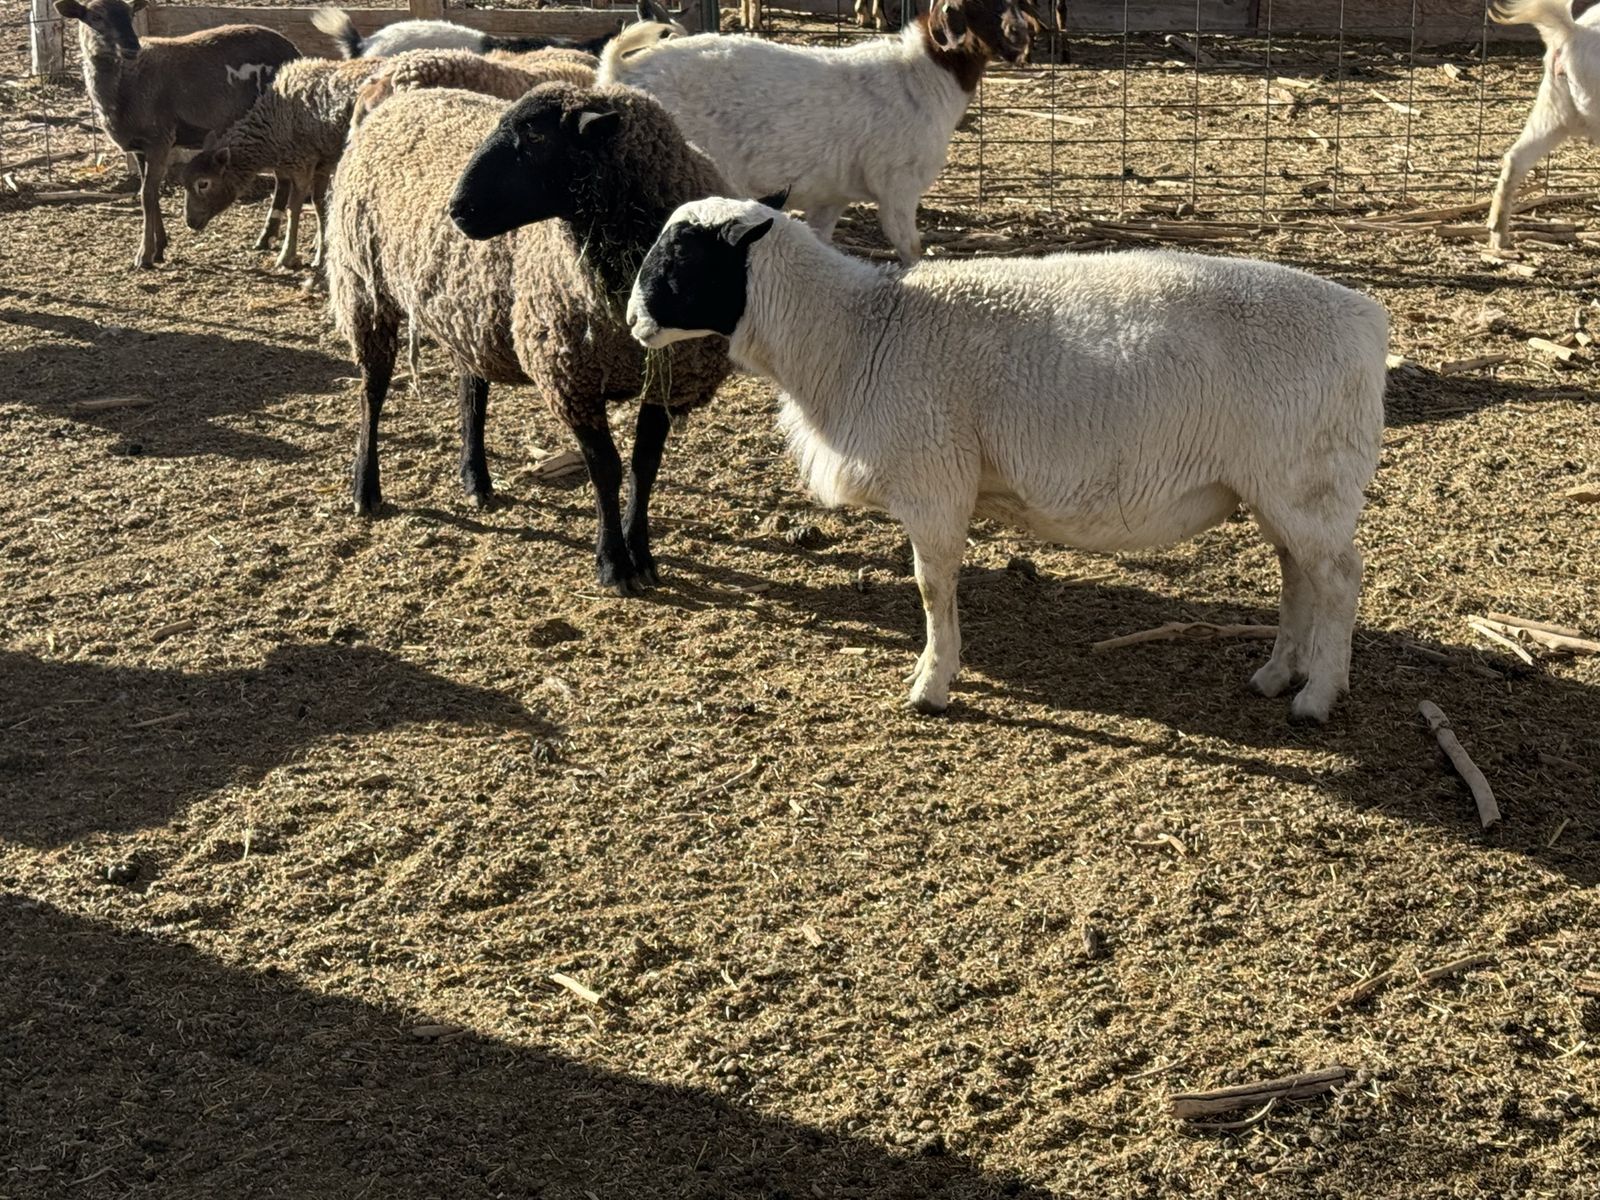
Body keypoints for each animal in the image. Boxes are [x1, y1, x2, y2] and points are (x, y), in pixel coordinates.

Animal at [53, 0, 300, 268]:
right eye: (96, 17)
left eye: (130, 14)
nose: (132, 46)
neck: (123, 87)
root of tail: (294, 51)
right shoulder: (140, 147)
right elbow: (150, 194)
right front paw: (159, 248)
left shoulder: (159, 139)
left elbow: (146, 195)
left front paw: (144, 255)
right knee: (282, 179)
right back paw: (266, 238)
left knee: (283, 179)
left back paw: (268, 237)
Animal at [179, 57, 380, 271]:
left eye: (203, 183)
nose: (190, 222)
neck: (271, 125)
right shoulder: (321, 164)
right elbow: (320, 206)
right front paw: (321, 254)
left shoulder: (303, 164)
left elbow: (293, 209)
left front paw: (287, 257)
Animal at [324, 83, 736, 595]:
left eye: (537, 138)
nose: (457, 211)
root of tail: (400, 99)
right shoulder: (570, 379)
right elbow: (606, 469)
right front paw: (613, 564)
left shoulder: (667, 376)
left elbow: (645, 467)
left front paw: (640, 554)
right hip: (364, 286)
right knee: (372, 393)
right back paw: (366, 489)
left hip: (467, 310)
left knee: (471, 392)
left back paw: (476, 479)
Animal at [599, 0, 1034, 266]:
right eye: (980, 4)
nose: (1022, 37)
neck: (923, 75)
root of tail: (620, 71)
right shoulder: (897, 184)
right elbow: (908, 246)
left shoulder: (832, 195)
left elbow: (821, 240)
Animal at [626, 200, 1389, 721]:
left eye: (681, 259)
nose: (632, 323)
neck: (856, 334)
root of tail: (1368, 320)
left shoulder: (934, 480)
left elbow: (932, 588)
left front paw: (931, 684)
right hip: (1283, 485)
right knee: (1297, 574)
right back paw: (1277, 675)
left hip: (1309, 478)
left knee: (1339, 579)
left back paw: (1318, 696)